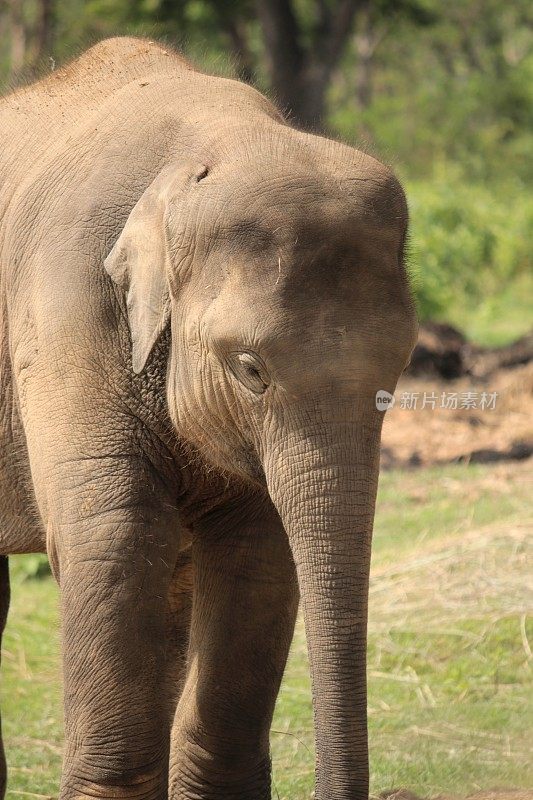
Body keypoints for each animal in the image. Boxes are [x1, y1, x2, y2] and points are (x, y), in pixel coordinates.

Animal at [0, 36, 416, 800]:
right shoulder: (63, 302)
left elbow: (258, 549)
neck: (213, 141)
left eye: (400, 367)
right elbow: (116, 536)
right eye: (250, 368)